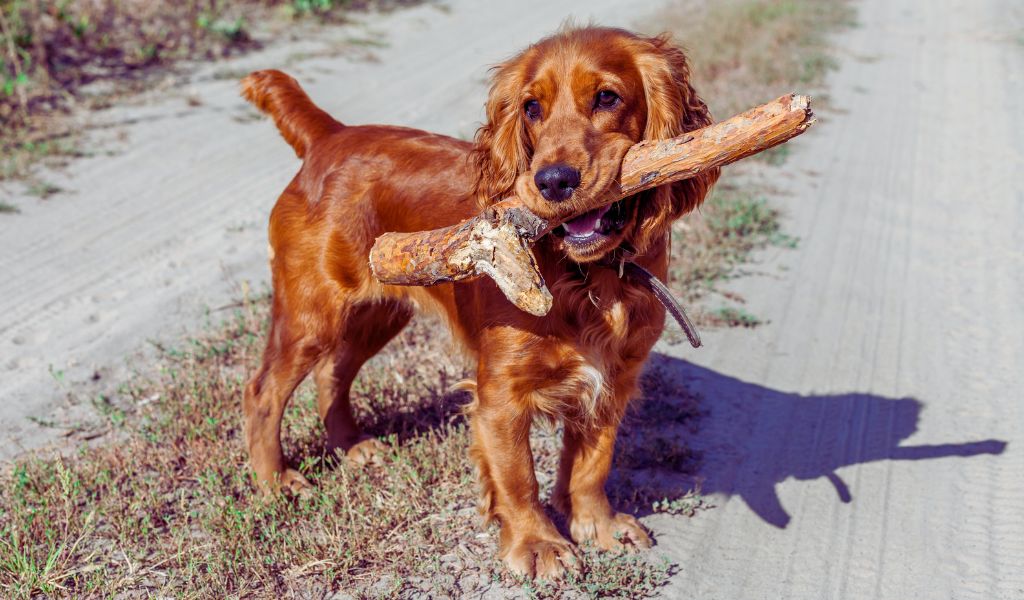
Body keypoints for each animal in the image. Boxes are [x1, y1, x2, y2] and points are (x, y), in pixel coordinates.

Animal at [239, 25, 720, 577]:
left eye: (607, 97)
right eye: (531, 108)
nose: (552, 181)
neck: (588, 277)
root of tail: (330, 135)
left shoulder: (614, 377)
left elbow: (592, 464)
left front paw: (597, 525)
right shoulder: (501, 394)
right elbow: (518, 476)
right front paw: (538, 544)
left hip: (379, 313)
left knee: (331, 373)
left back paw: (352, 446)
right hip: (312, 314)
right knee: (263, 392)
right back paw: (275, 483)